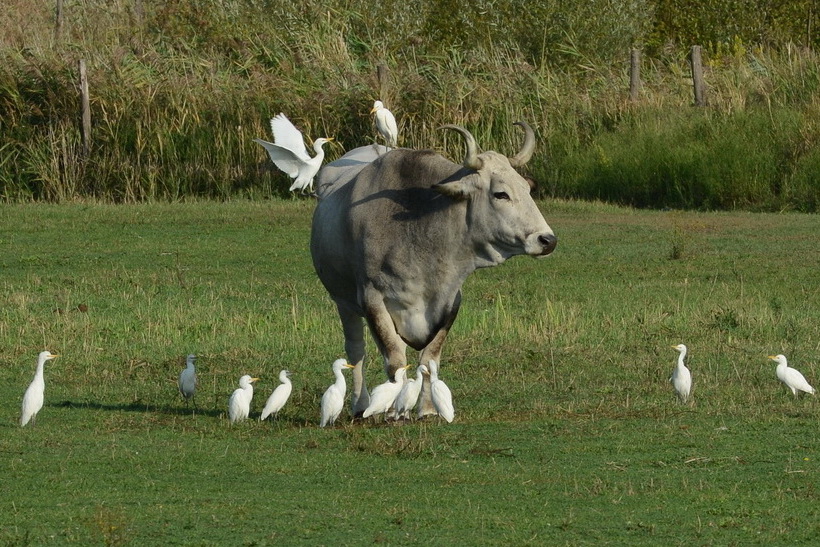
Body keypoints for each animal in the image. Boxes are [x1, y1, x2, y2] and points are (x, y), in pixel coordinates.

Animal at [310, 123, 556, 416]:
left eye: (527, 190)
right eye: (501, 194)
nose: (547, 240)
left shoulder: (451, 300)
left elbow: (429, 358)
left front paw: (427, 409)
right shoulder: (372, 299)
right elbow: (394, 359)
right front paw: (394, 410)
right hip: (343, 302)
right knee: (356, 351)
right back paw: (360, 404)